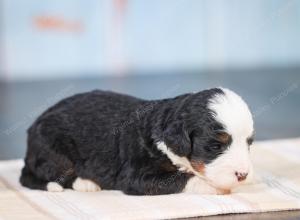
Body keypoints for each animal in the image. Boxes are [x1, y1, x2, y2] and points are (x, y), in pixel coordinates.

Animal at [19, 87, 254, 194]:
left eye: (249, 143)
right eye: (215, 146)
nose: (243, 175)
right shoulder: (135, 175)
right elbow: (181, 178)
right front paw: (212, 187)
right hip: (54, 152)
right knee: (48, 174)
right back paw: (86, 184)